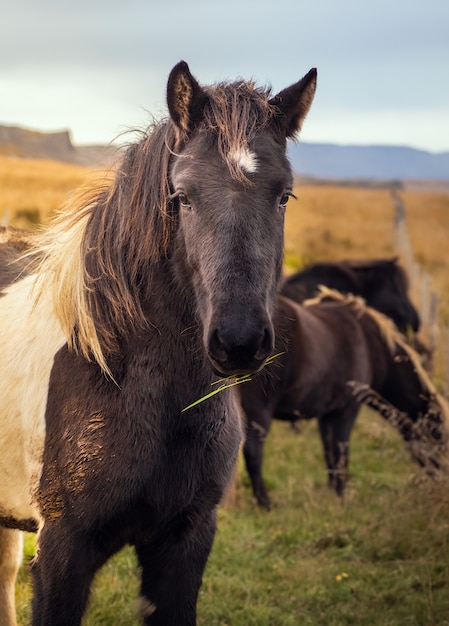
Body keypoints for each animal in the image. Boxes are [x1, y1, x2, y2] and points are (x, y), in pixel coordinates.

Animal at [240, 290, 446, 510]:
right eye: (438, 435)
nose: (442, 477)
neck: (371, 344)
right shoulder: (347, 409)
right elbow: (341, 452)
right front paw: (342, 496)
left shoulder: (327, 413)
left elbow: (330, 452)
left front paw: (333, 491)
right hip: (258, 411)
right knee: (253, 453)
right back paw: (265, 503)